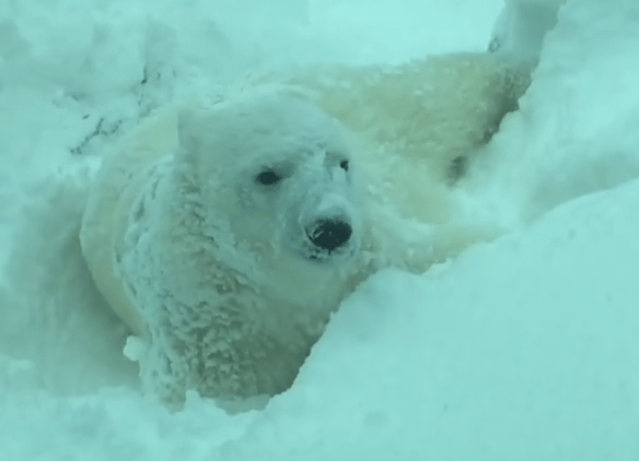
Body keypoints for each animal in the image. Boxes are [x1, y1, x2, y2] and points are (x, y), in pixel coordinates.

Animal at [80, 52, 531, 409]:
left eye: (340, 162)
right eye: (267, 174)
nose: (331, 229)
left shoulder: (370, 253)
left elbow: (438, 247)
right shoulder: (208, 336)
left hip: (353, 100)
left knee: (434, 94)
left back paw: (516, 71)